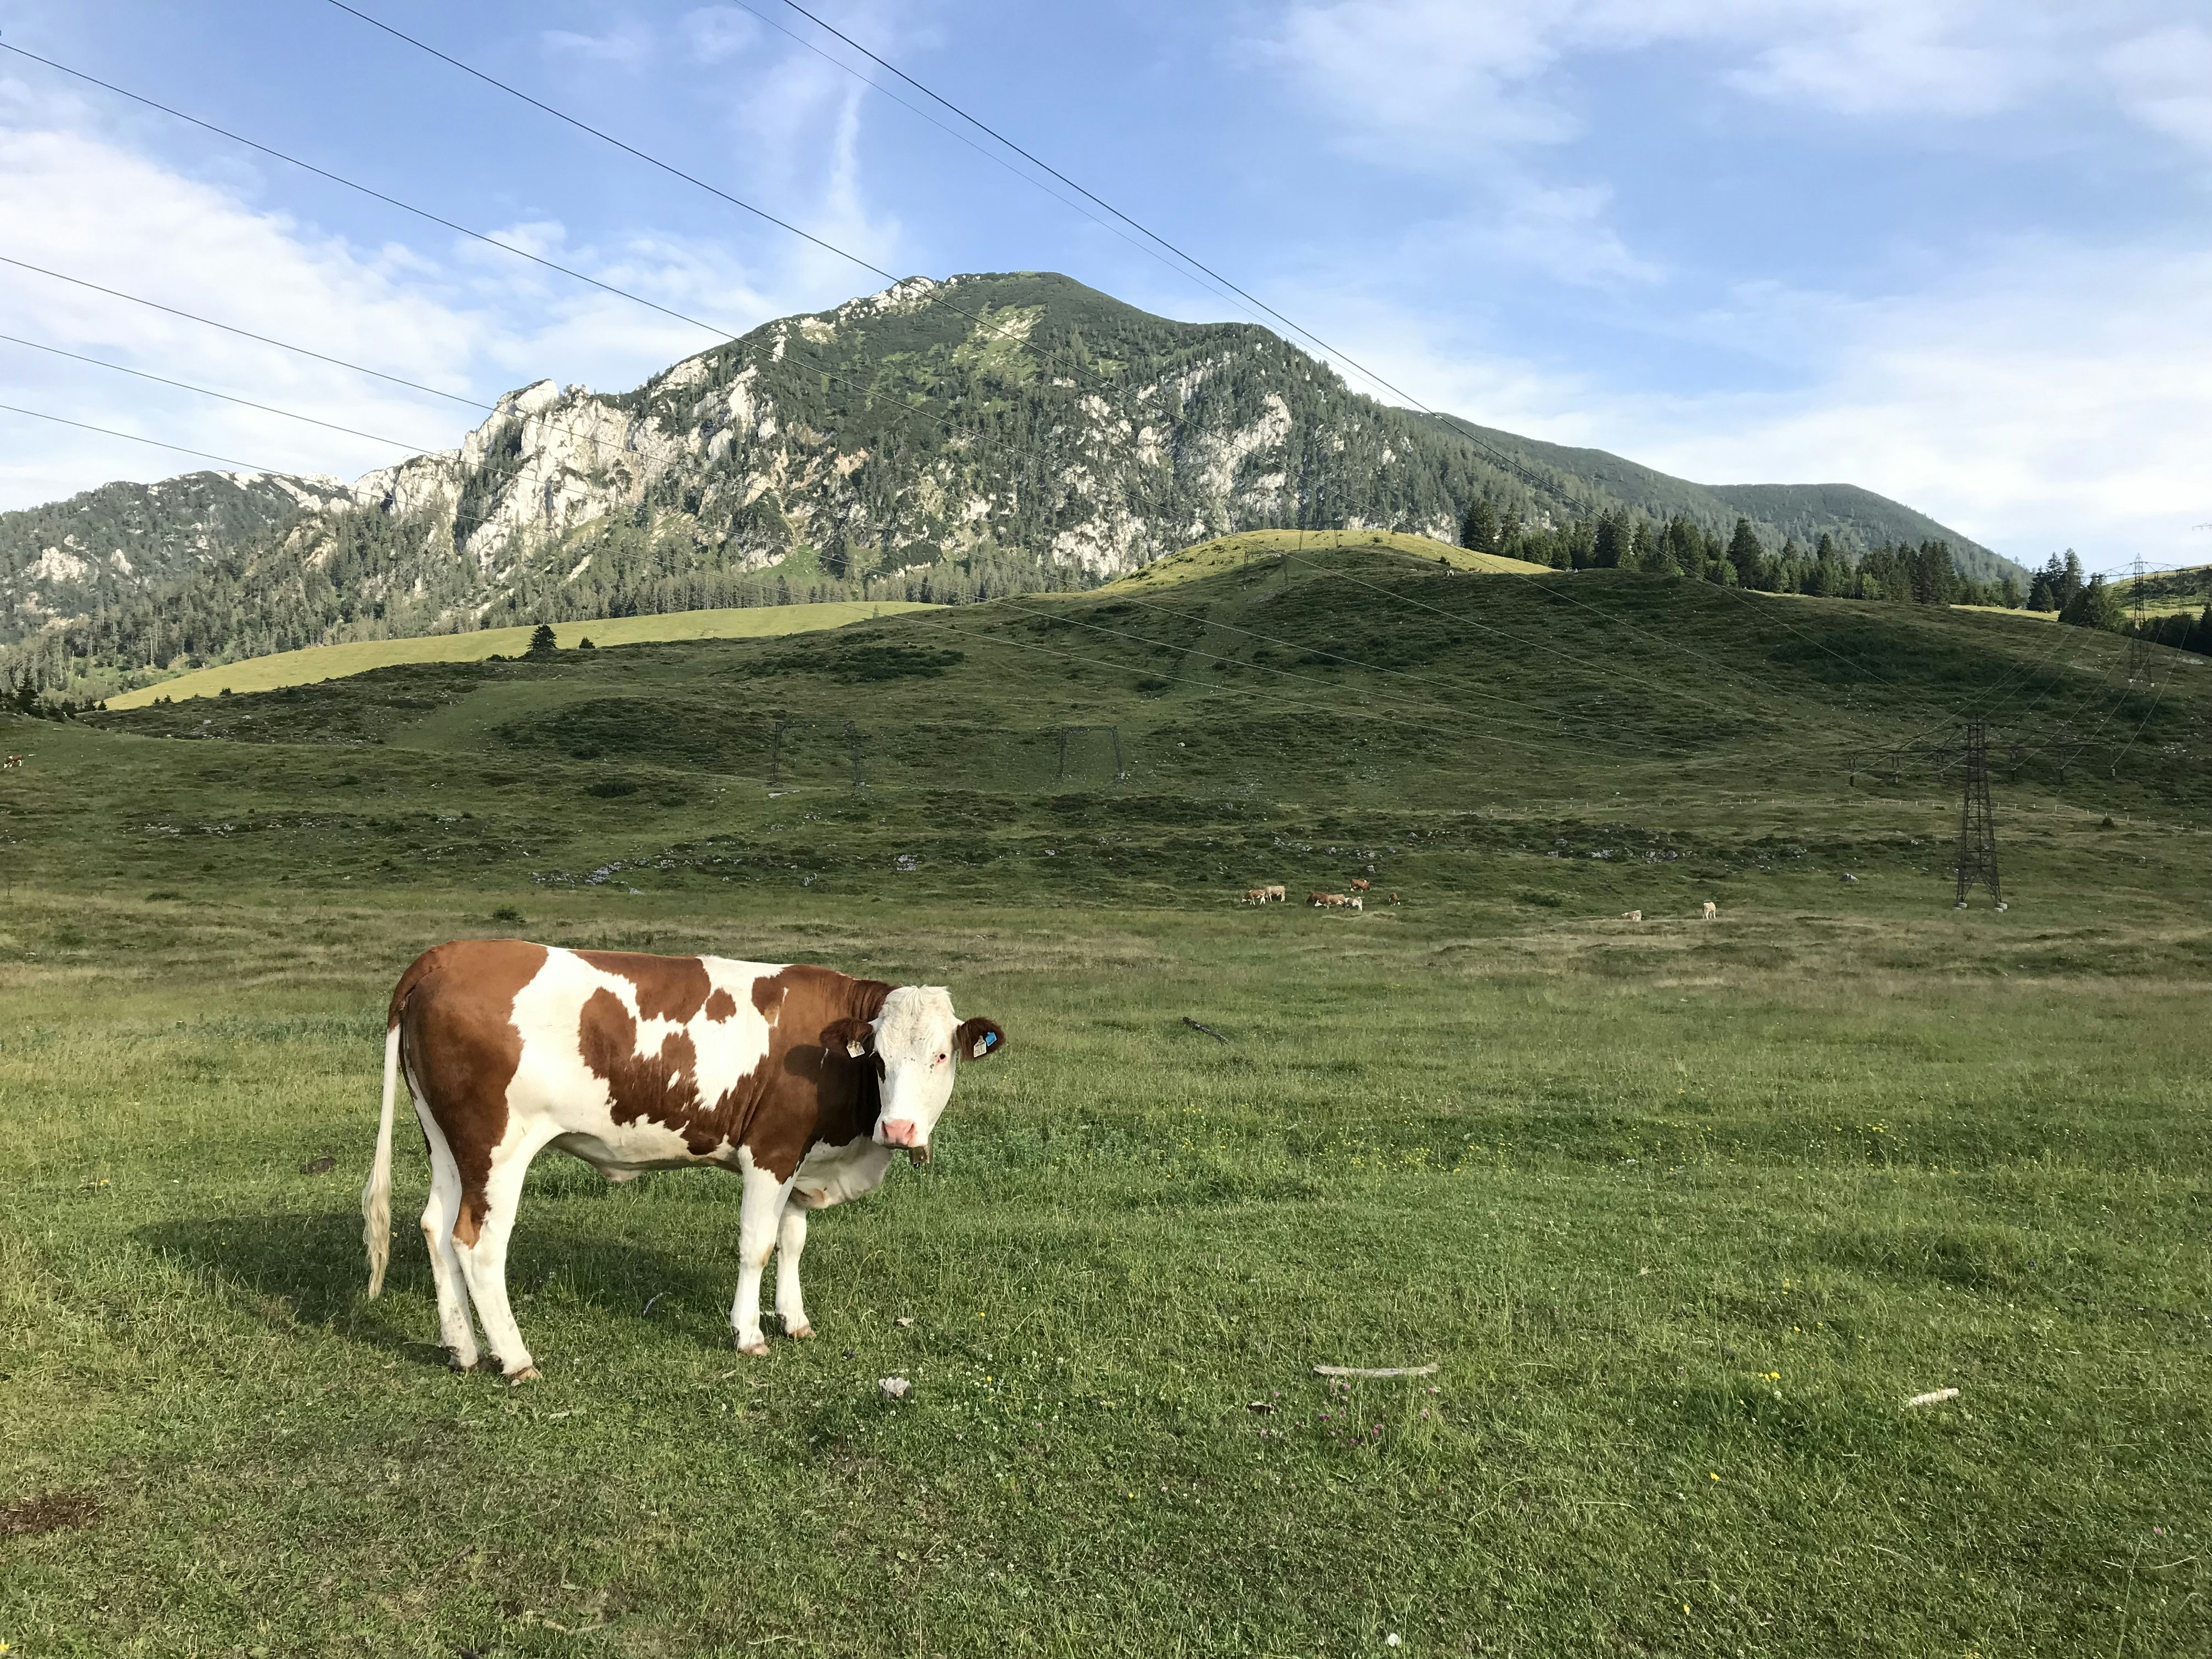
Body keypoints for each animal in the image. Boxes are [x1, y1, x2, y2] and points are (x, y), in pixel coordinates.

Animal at [361, 940, 1004, 1381]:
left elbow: (792, 1240)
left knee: (436, 1227)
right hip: (498, 1146)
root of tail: (448, 955)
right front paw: (748, 1333)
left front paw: (794, 1319)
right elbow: (758, 1244)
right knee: (478, 1244)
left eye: (941, 1056)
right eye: (878, 1059)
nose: (899, 1129)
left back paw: (463, 1349)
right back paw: (514, 1358)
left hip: (449, 1142)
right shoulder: (771, 1151)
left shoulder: (802, 1161)